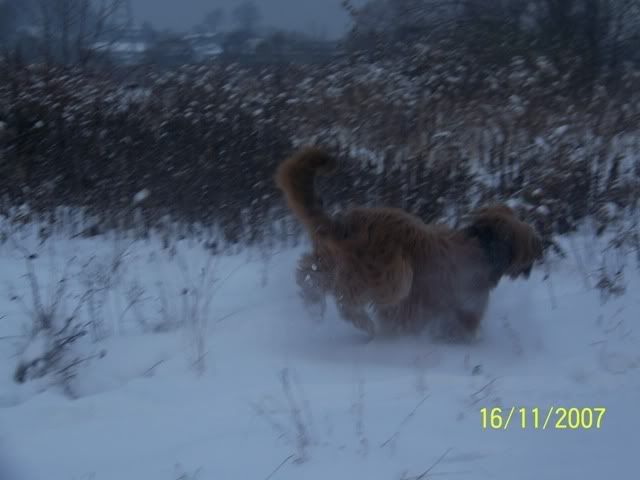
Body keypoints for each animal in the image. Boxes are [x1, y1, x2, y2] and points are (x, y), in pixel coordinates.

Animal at [275, 146, 543, 340]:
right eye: (529, 245)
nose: (538, 252)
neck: (483, 244)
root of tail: (345, 224)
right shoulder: (462, 305)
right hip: (392, 275)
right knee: (346, 297)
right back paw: (363, 322)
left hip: (329, 260)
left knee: (308, 272)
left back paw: (313, 301)